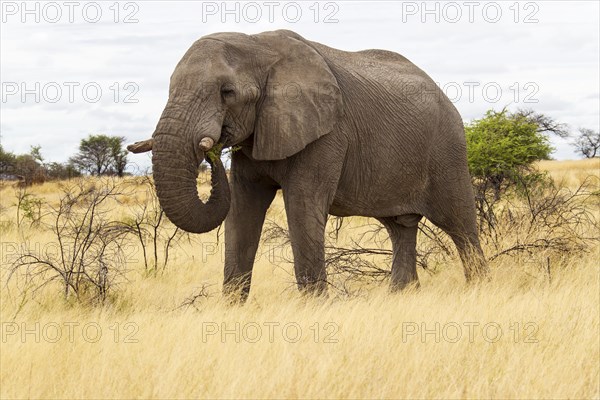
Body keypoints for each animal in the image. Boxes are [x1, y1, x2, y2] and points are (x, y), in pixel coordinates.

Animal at [130, 29, 488, 298]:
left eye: (227, 92)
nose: (211, 148)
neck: (256, 44)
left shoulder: (328, 134)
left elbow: (302, 207)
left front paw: (315, 308)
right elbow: (242, 210)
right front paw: (230, 308)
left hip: (448, 150)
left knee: (461, 224)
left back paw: (478, 289)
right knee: (400, 227)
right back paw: (401, 295)